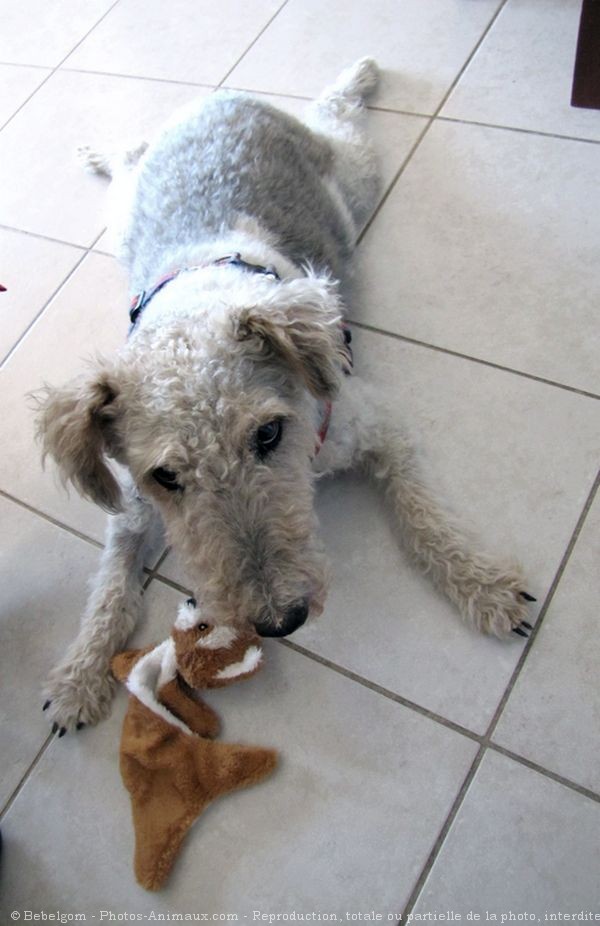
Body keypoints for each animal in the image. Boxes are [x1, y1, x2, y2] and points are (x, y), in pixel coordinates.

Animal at [37, 59, 536, 740]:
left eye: (268, 434)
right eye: (166, 475)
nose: (280, 620)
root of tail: (219, 99)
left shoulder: (374, 425)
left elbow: (425, 520)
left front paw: (484, 587)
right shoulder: (131, 506)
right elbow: (110, 586)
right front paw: (78, 677)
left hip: (354, 174)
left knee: (337, 112)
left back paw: (360, 75)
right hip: (124, 219)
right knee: (130, 156)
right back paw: (99, 151)